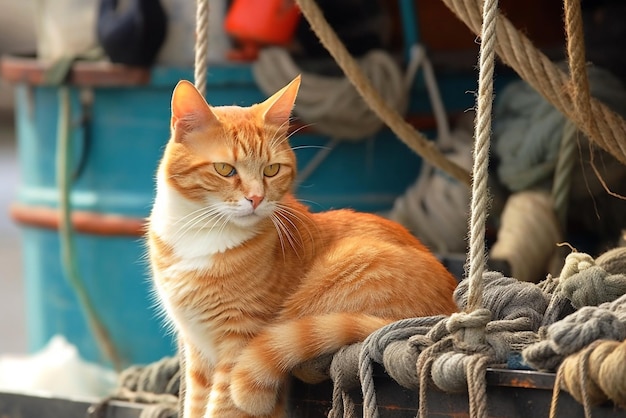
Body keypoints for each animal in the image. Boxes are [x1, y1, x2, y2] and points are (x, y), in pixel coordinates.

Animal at [148, 76, 456, 418]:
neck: (202, 233)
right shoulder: (198, 352)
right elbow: (195, 404)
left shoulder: (240, 341)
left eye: (271, 170)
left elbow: (223, 408)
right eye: (225, 169)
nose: (256, 198)